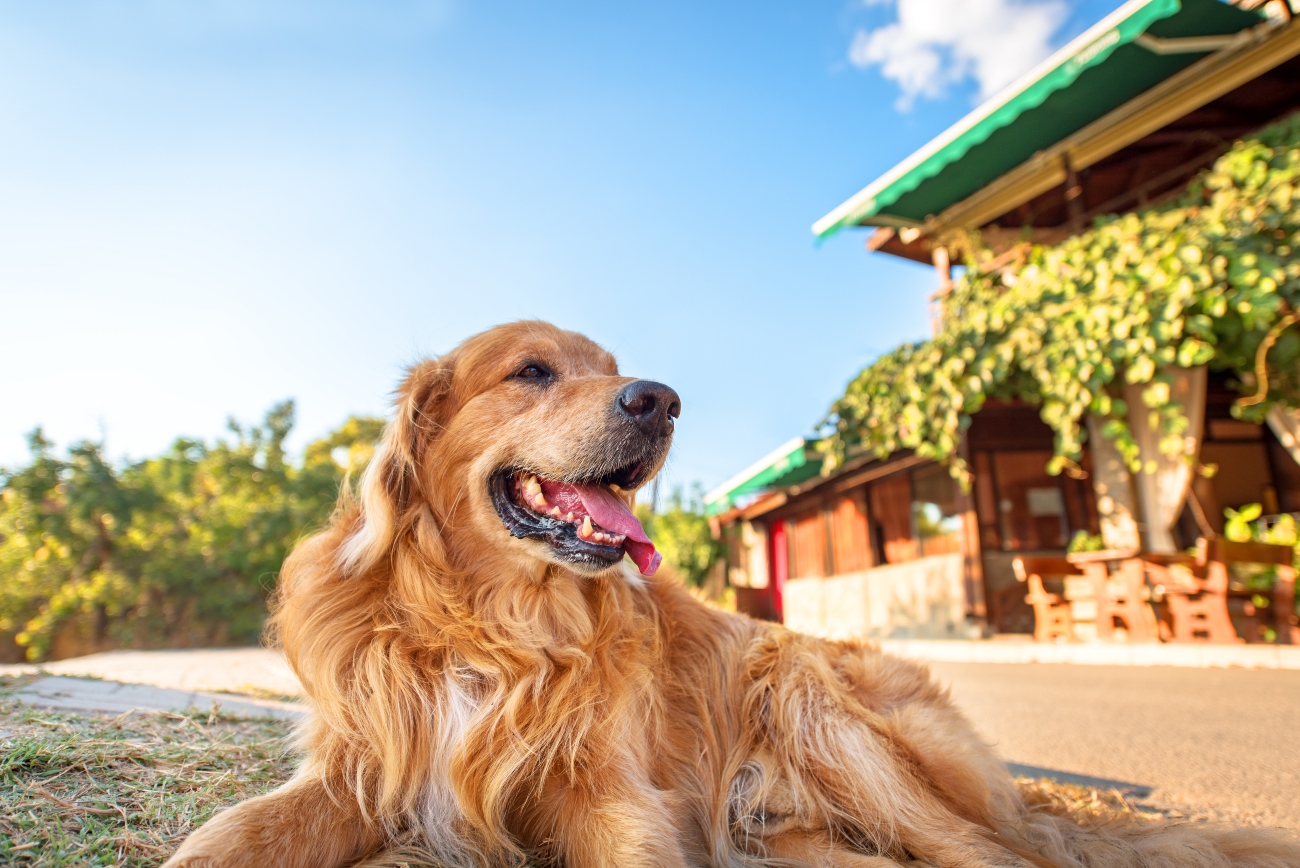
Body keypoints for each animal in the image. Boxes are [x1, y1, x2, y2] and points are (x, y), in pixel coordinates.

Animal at [167, 320, 1294, 868]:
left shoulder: (609, 796)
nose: (660, 399)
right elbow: (228, 837)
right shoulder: (363, 770)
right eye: (530, 371)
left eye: (616, 367)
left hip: (806, 692)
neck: (492, 624)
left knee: (996, 859)